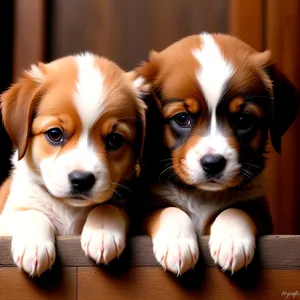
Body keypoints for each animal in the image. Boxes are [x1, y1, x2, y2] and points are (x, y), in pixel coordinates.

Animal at [0, 52, 148, 276]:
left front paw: (102, 230)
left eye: (115, 140)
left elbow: (109, 206)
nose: (81, 179)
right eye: (54, 134)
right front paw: (34, 246)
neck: (69, 208)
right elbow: (31, 213)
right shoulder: (8, 217)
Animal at [137, 34, 298, 276]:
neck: (203, 196)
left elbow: (238, 209)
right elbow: (168, 209)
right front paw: (177, 243)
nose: (212, 164)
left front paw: (231, 240)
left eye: (243, 120)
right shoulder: (149, 203)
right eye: (182, 118)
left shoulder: (260, 209)